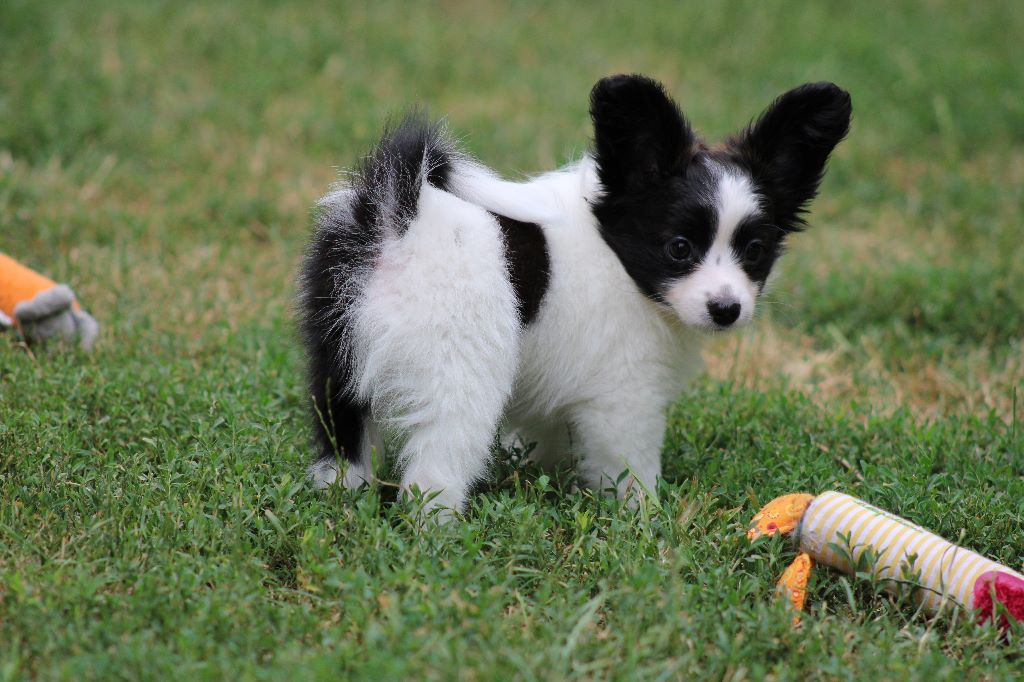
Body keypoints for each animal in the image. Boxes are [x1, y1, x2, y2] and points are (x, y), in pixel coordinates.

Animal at [299, 74, 851, 515]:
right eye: (679, 248)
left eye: (754, 251)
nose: (726, 310)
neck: (616, 256)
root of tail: (396, 215)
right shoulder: (625, 396)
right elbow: (631, 467)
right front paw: (648, 521)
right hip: (459, 374)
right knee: (436, 466)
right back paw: (437, 533)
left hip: (338, 353)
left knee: (343, 436)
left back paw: (341, 500)